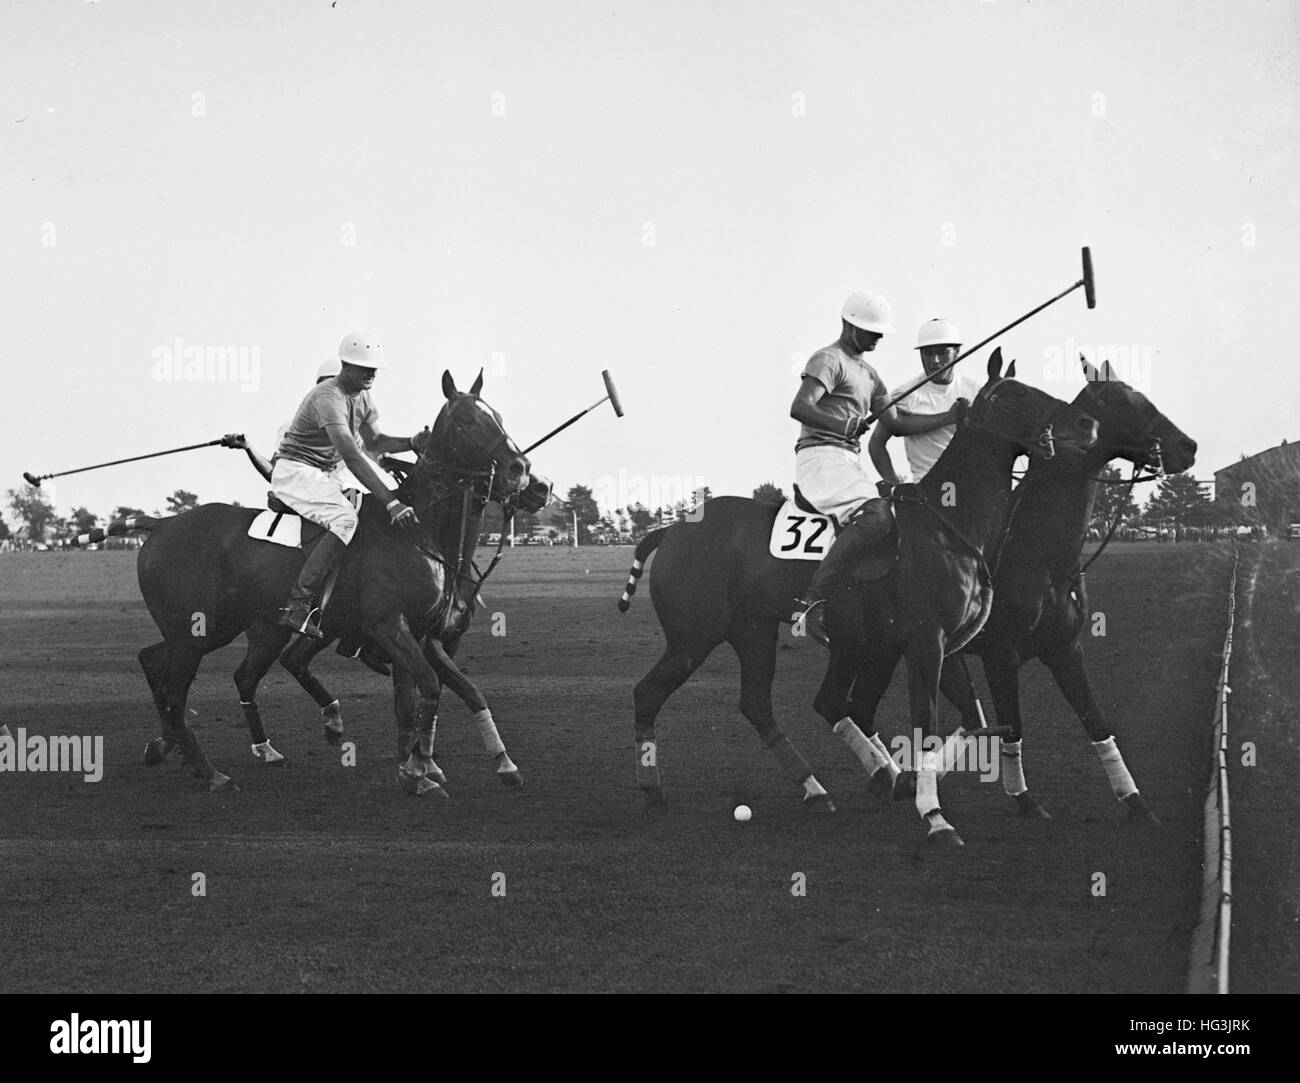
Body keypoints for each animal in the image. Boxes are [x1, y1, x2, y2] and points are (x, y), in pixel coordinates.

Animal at [126, 371, 533, 795]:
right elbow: (430, 687)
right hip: (197, 631)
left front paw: (461, 766)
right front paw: (419, 771)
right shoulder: (388, 624)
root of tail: (159, 525)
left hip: (219, 628)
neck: (419, 532)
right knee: (176, 691)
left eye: (498, 416)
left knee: (158, 661)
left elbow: (442, 694)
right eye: (468, 420)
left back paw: (172, 748)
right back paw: (210, 772)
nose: (520, 469)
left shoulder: (422, 633)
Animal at [915, 353, 1196, 821]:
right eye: (1120, 400)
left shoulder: (1064, 647)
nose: (1188, 446)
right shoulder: (1000, 656)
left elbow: (1095, 721)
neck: (1039, 555)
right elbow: (1012, 725)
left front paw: (1136, 802)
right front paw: (1024, 799)